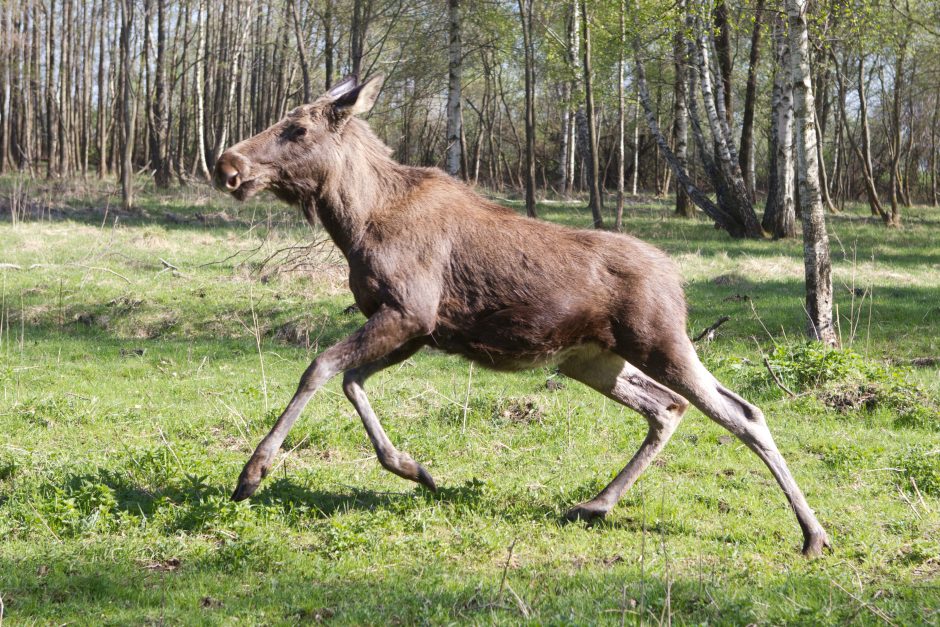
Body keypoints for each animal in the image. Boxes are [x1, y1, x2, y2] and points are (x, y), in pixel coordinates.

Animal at [215, 76, 828, 556]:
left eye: (297, 129)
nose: (228, 165)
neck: (354, 221)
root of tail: (676, 281)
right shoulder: (419, 328)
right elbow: (352, 381)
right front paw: (414, 468)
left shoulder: (409, 312)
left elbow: (320, 368)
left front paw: (252, 473)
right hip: (592, 358)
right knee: (666, 408)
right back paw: (596, 503)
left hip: (659, 340)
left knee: (741, 412)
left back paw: (812, 534)